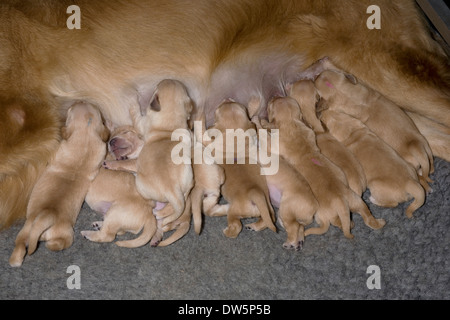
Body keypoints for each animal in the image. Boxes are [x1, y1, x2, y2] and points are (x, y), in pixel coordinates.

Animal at [9, 102, 109, 268]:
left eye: (70, 111)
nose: (79, 101)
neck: (85, 135)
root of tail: (47, 216)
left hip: (35, 231)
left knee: (24, 246)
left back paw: (14, 261)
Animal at [209, 100, 276, 238]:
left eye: (218, 108)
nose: (227, 99)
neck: (235, 139)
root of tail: (255, 193)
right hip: (268, 208)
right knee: (268, 220)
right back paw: (253, 226)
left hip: (234, 211)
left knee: (236, 226)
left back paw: (227, 230)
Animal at [264, 97, 386, 240]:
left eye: (270, 105)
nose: (273, 97)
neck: (291, 122)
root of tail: (340, 200)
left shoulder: (276, 143)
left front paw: (262, 123)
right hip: (357, 201)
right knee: (366, 216)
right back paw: (379, 222)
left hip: (327, 213)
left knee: (338, 222)